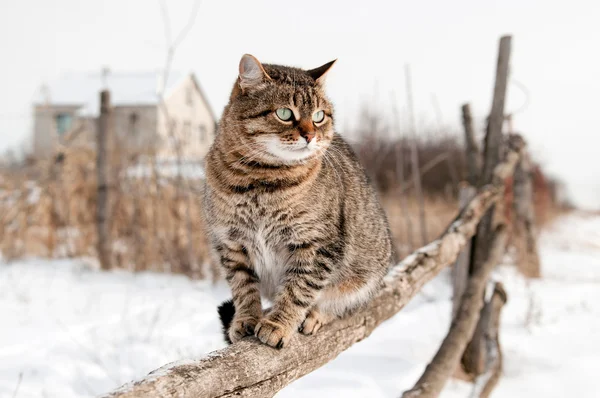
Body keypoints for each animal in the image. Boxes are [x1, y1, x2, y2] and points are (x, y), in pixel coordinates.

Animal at [204, 53, 394, 348]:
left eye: (318, 116)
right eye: (284, 114)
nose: (310, 135)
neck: (261, 182)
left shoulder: (316, 245)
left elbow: (298, 290)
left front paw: (278, 325)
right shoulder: (231, 243)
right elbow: (244, 288)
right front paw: (246, 319)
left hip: (366, 272)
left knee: (342, 304)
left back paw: (315, 315)